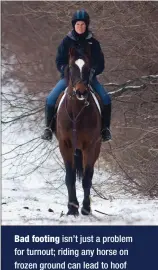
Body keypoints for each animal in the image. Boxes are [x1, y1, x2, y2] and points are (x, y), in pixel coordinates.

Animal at [56, 48, 102, 215]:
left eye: (88, 68)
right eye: (71, 67)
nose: (81, 92)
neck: (76, 112)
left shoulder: (90, 146)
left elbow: (87, 178)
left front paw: (86, 208)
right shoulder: (65, 145)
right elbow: (70, 177)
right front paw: (72, 208)